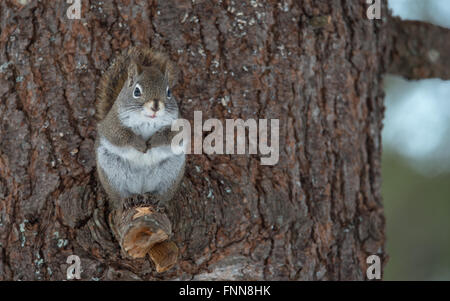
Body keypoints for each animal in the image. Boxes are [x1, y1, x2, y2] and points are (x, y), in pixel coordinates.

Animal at [95, 47, 185, 211]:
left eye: (169, 92)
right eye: (137, 91)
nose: (156, 106)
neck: (148, 120)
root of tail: (141, 189)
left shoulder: (178, 125)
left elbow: (170, 136)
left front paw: (153, 141)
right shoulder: (112, 124)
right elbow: (121, 136)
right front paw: (140, 144)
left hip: (171, 173)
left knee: (162, 193)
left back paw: (157, 199)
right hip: (111, 172)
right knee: (119, 196)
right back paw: (126, 200)